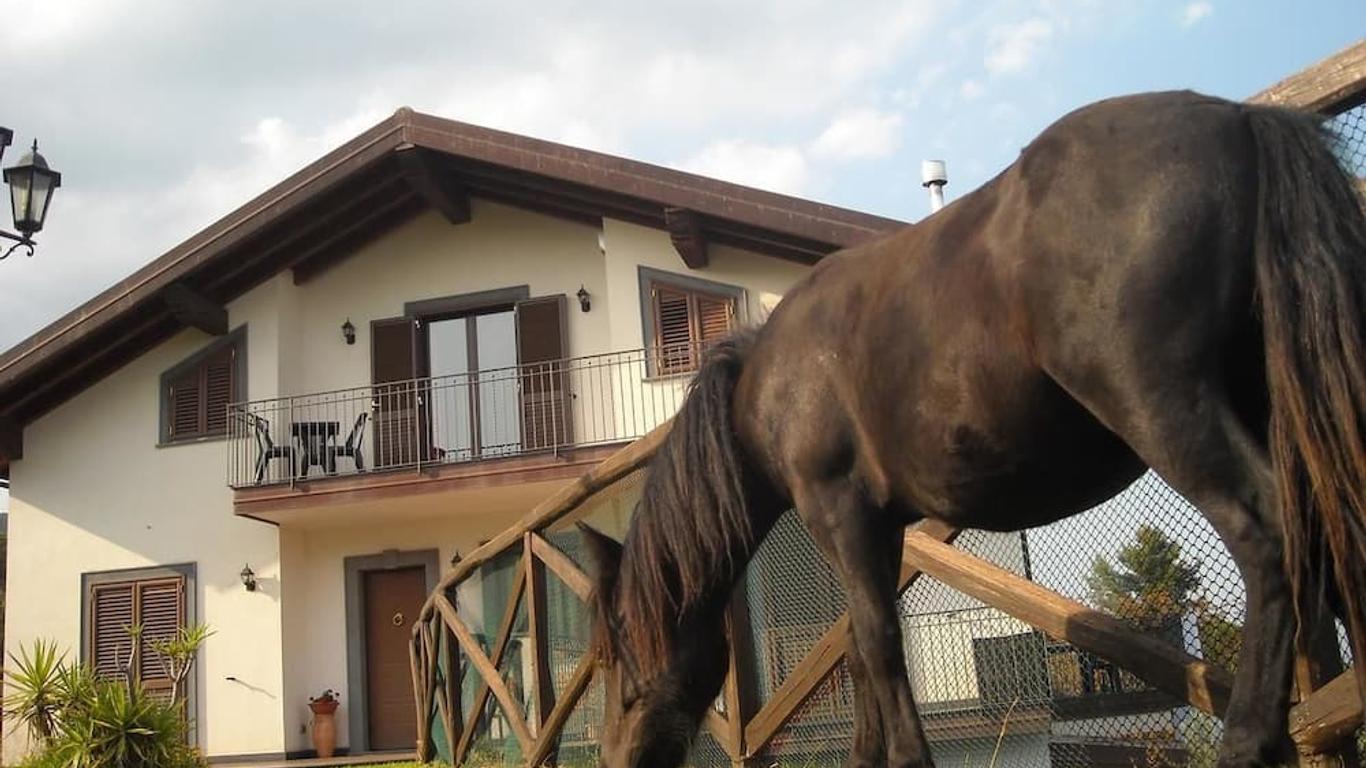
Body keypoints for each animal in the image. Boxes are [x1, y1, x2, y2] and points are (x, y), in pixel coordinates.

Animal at [581, 90, 1366, 765]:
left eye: (617, 657)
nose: (614, 758)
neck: (766, 383)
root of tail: (1239, 120)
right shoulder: (878, 525)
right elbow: (858, 650)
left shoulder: (840, 510)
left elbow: (878, 640)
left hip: (1165, 405)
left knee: (1270, 533)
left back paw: (1249, 741)